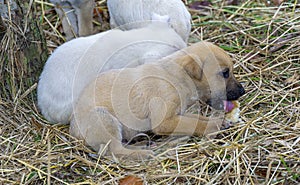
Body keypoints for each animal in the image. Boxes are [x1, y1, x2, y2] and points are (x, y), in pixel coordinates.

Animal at [69, 41, 244, 158]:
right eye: (225, 73)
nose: (243, 91)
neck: (177, 76)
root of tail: (73, 130)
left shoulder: (177, 114)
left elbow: (196, 119)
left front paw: (220, 121)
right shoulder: (165, 121)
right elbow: (195, 123)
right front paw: (214, 125)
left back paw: (141, 145)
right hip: (104, 119)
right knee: (114, 150)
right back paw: (142, 154)